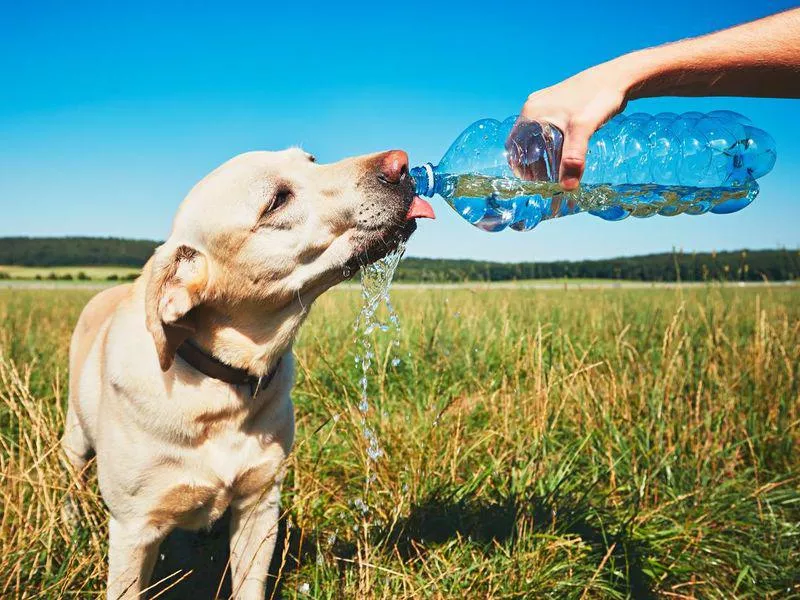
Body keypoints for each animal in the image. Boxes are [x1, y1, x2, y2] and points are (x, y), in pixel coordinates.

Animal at [61, 148, 434, 596]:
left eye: (312, 160)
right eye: (277, 201)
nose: (401, 163)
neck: (220, 386)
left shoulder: (260, 505)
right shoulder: (133, 529)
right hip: (75, 440)